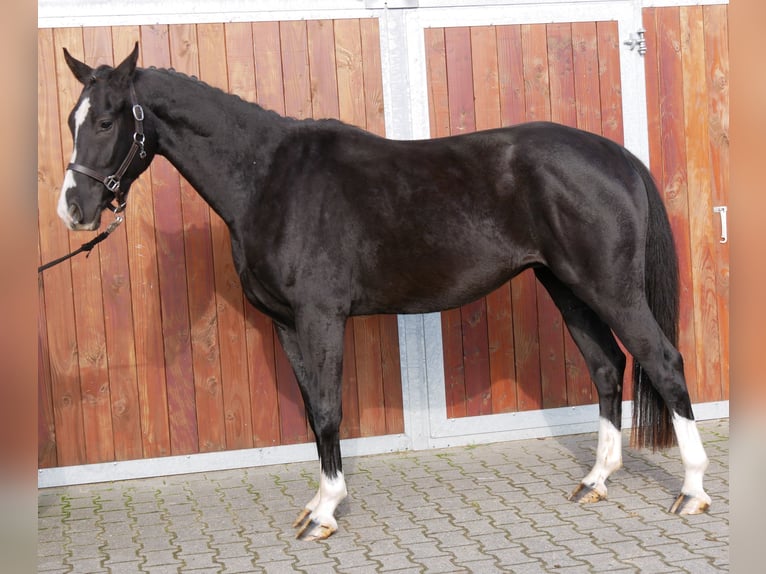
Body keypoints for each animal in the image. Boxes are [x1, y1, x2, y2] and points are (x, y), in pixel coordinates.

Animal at [57, 46, 712, 544]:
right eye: (71, 119)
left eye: (107, 121)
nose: (74, 210)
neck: (268, 178)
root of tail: (616, 156)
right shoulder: (288, 324)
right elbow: (312, 412)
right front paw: (318, 502)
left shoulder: (321, 317)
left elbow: (328, 408)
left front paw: (325, 512)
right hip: (568, 288)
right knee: (606, 368)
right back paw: (596, 481)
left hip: (610, 289)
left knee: (664, 362)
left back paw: (692, 491)